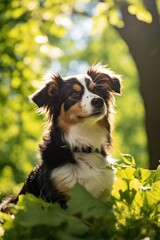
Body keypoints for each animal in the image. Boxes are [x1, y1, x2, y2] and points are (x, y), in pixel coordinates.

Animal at [0, 63, 122, 212]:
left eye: (97, 91)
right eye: (73, 94)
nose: (98, 101)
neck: (82, 145)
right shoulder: (61, 200)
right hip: (9, 204)